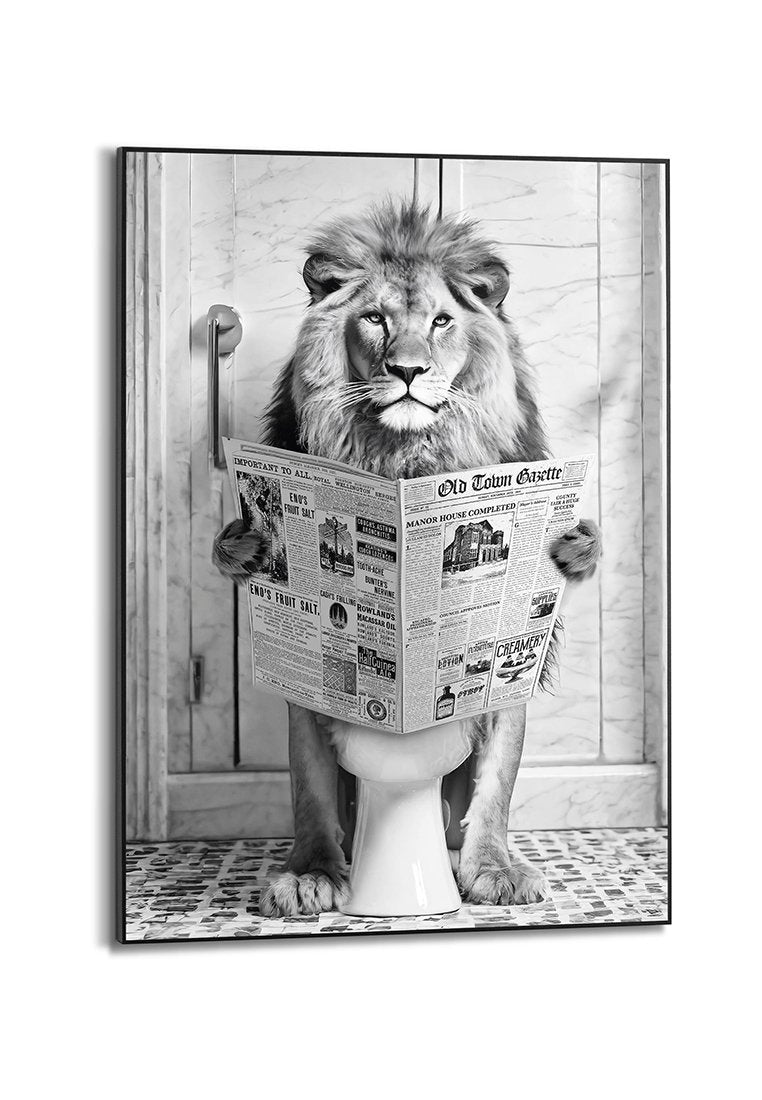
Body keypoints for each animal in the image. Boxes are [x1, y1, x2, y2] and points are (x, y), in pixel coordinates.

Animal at [213, 200, 601, 915]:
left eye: (441, 322)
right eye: (375, 318)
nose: (409, 371)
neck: (402, 459)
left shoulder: (510, 666)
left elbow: (498, 784)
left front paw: (496, 868)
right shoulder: (307, 695)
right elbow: (309, 788)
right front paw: (311, 874)